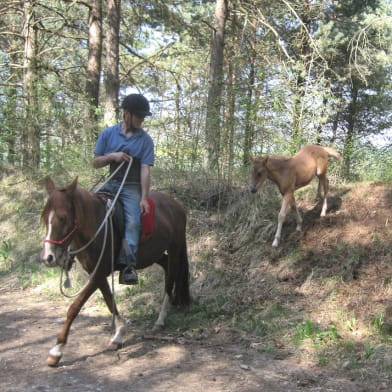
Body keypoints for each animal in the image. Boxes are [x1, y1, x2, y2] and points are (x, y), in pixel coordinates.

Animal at [40, 178, 191, 368]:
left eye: (62, 218)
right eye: (45, 217)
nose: (48, 257)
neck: (96, 226)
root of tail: (176, 205)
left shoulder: (98, 272)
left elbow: (74, 307)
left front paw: (57, 350)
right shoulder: (96, 272)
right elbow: (109, 300)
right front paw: (118, 335)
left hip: (175, 247)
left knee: (171, 277)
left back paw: (161, 319)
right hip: (155, 254)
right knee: (166, 267)